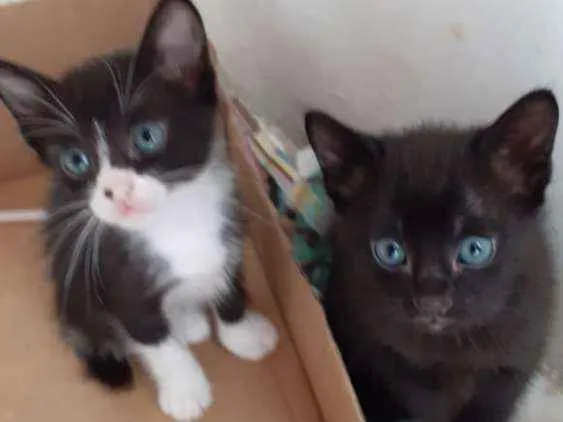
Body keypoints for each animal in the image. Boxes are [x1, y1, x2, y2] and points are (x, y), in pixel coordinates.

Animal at [0, 0, 278, 420]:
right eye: (76, 161)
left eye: (147, 136)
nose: (117, 190)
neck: (174, 221)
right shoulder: (112, 271)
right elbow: (149, 334)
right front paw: (185, 388)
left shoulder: (231, 229)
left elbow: (230, 286)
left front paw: (243, 334)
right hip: (73, 276)